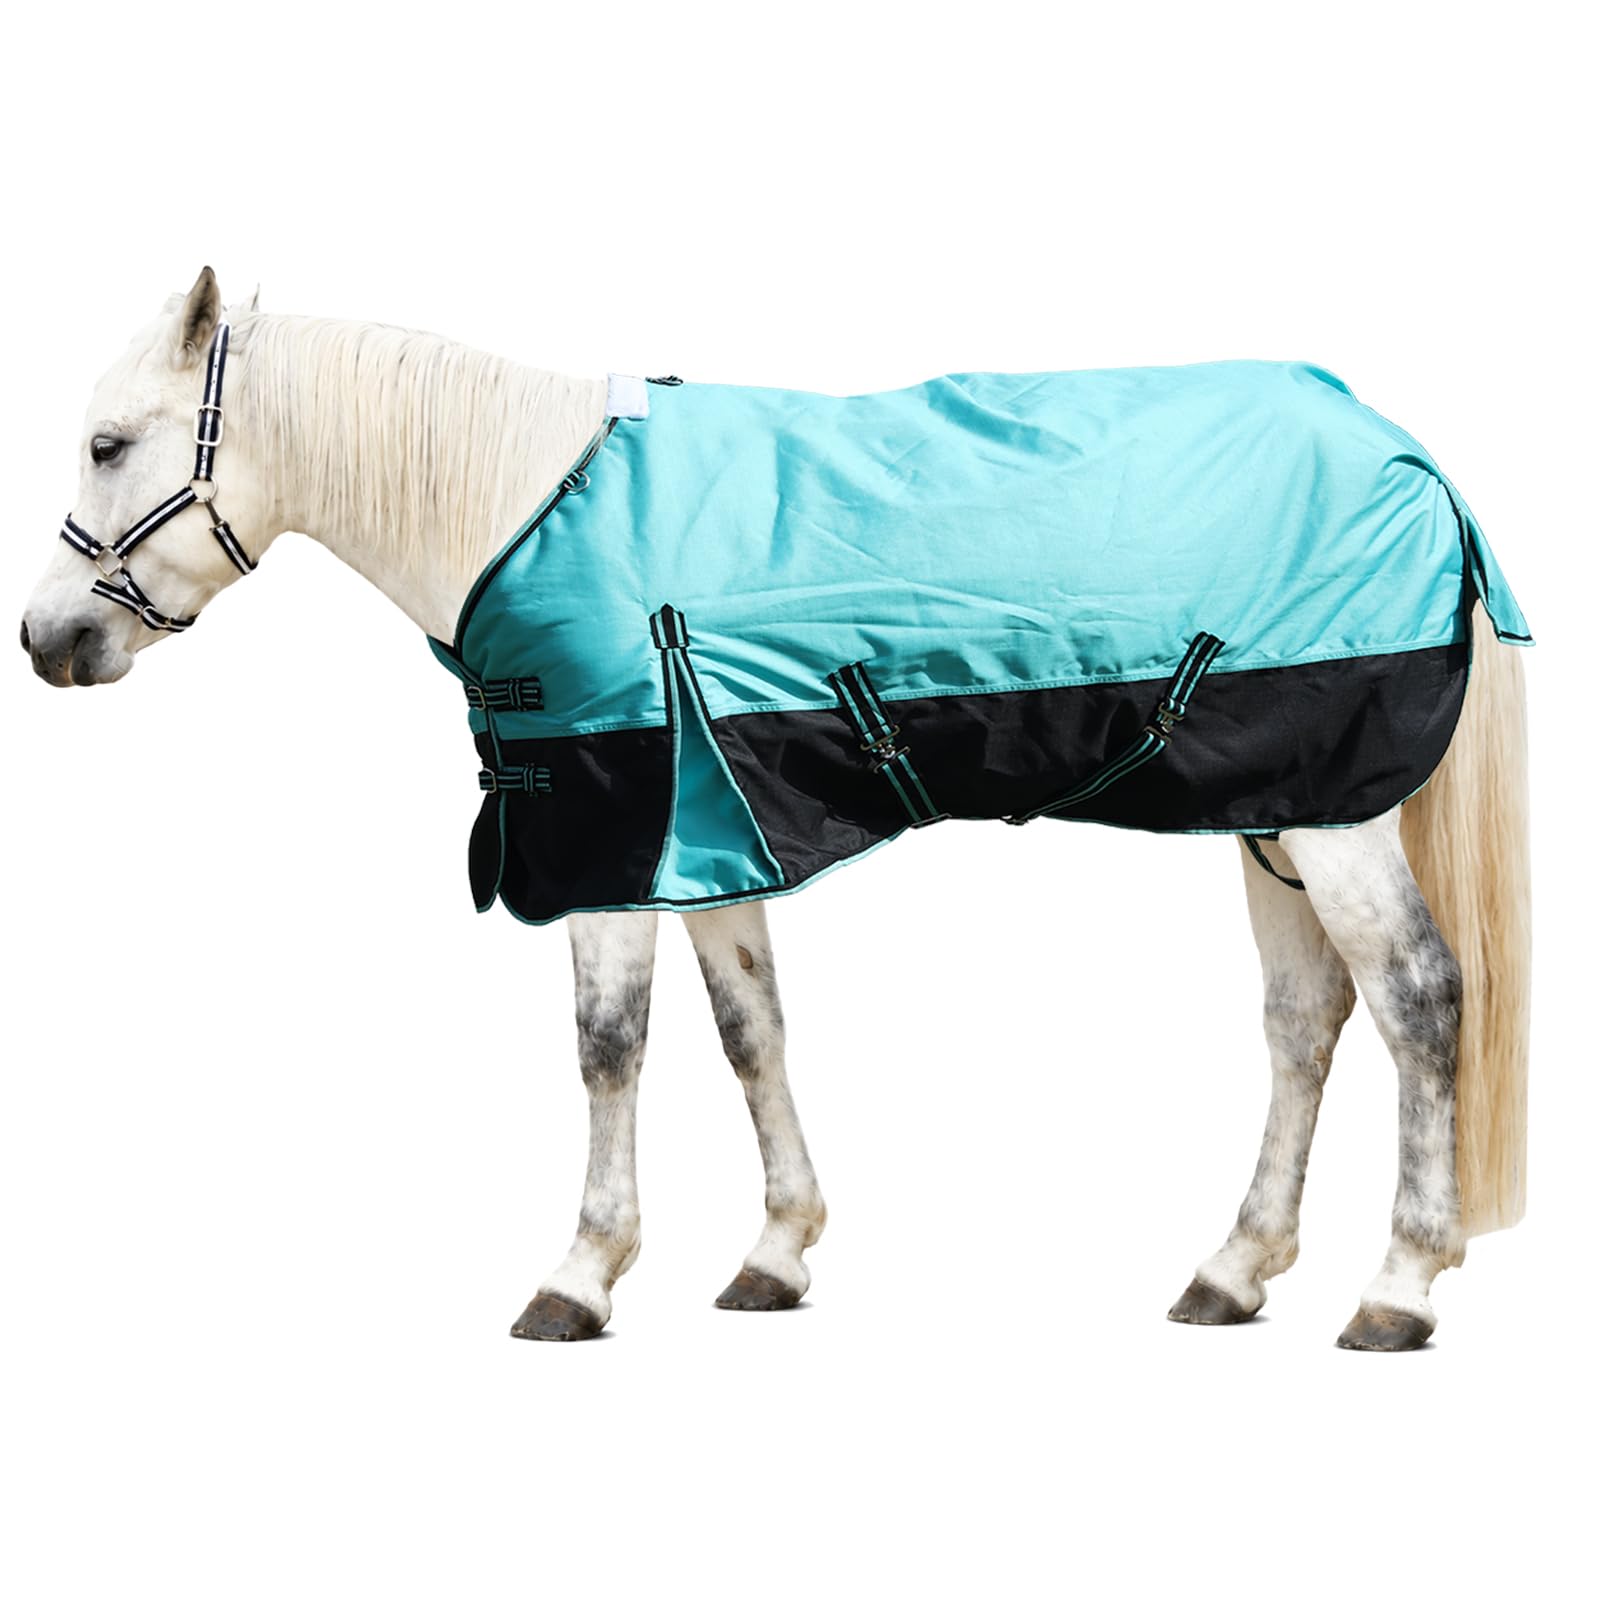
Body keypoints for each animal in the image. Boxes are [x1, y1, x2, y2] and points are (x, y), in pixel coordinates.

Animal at [21, 268, 1531, 1350]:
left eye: (107, 443)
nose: (46, 641)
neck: (523, 502)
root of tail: (1411, 457)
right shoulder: (705, 839)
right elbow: (751, 1032)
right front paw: (775, 1251)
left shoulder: (615, 834)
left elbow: (609, 1047)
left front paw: (581, 1272)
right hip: (1273, 814)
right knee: (1304, 1020)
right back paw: (1232, 1269)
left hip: (1333, 823)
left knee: (1417, 998)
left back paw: (1398, 1287)